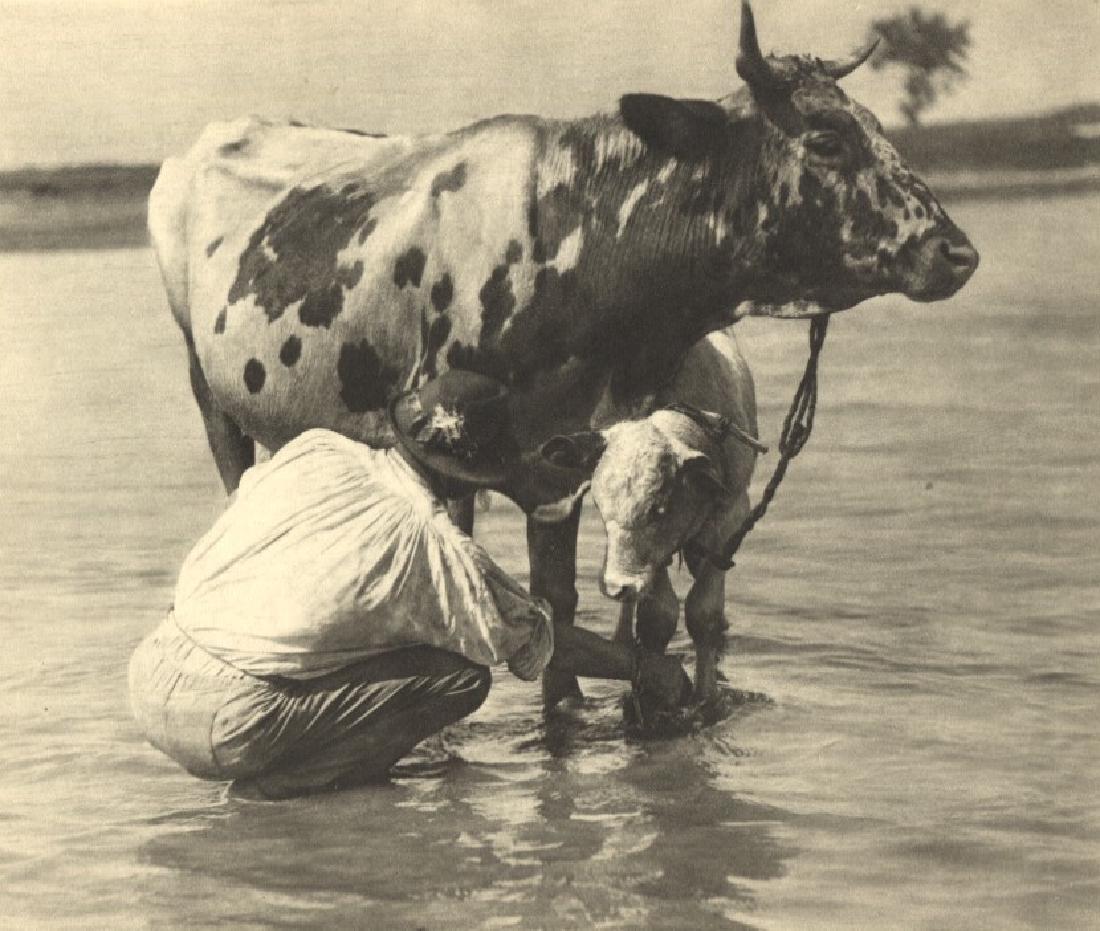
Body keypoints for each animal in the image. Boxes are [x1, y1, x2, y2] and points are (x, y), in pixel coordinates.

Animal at [148, 2, 978, 708]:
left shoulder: (576, 458)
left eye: (878, 126)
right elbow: (546, 602)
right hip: (212, 397)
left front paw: (577, 715)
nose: (958, 252)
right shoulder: (498, 459)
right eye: (828, 140)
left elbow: (576, 601)